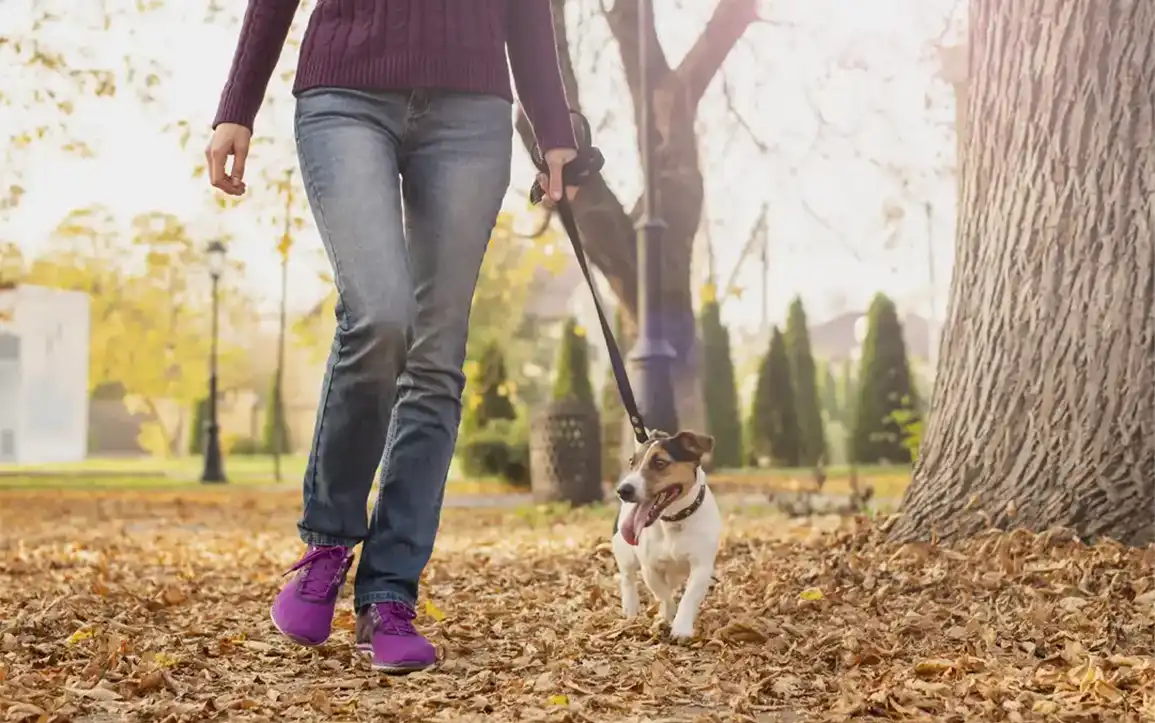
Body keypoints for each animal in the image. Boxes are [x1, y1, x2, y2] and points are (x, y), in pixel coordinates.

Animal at [609, 427, 716, 637]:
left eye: (660, 463)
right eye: (632, 462)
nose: (622, 490)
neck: (674, 520)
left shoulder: (702, 567)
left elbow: (688, 597)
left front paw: (681, 628)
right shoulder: (650, 567)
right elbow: (663, 594)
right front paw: (666, 616)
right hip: (624, 552)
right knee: (627, 578)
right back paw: (630, 608)